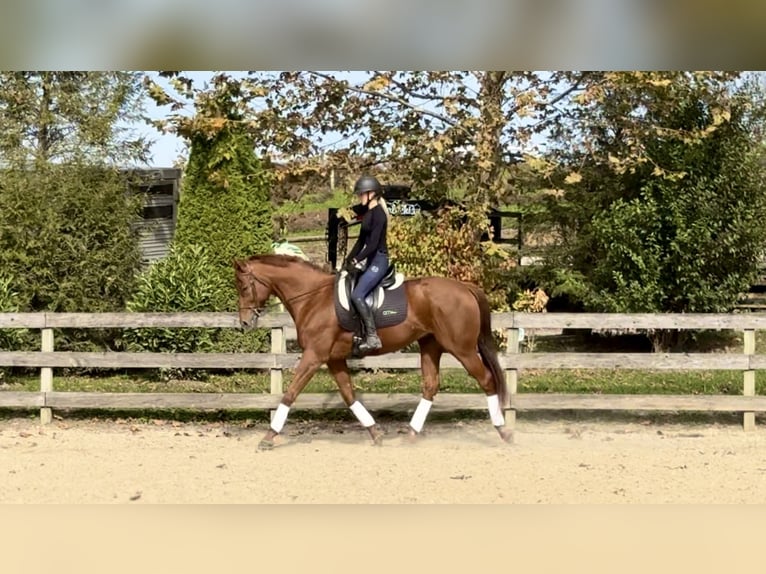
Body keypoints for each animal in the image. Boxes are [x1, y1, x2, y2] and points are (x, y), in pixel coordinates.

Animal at [234, 254, 511, 449]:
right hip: (431, 345)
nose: (245, 323)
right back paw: (411, 435)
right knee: (431, 385)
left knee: (487, 380)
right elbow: (349, 394)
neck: (313, 299)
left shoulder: (314, 356)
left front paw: (268, 437)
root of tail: (464, 287)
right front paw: (375, 433)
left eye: (244, 287)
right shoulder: (333, 359)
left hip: (462, 349)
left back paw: (504, 431)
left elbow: (290, 393)